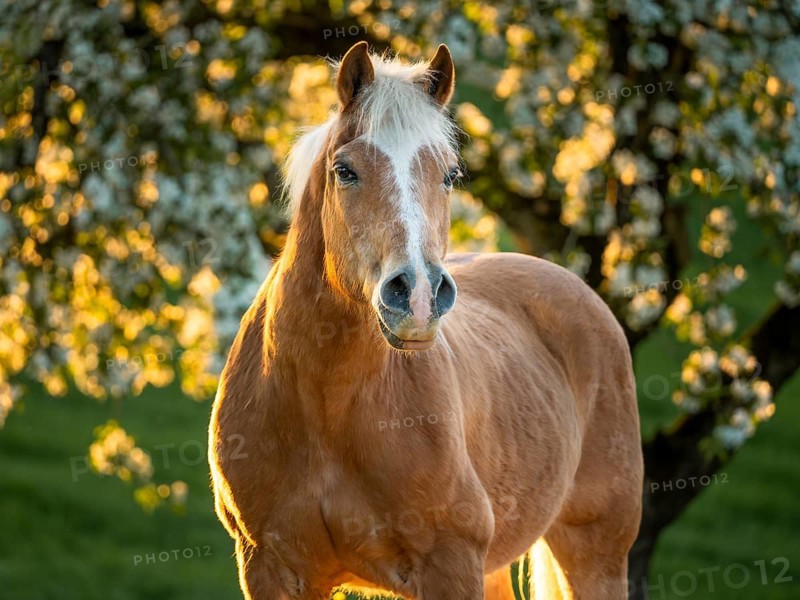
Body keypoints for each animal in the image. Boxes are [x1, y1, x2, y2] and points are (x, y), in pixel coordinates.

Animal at [208, 41, 643, 600]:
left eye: (450, 174)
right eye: (345, 171)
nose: (416, 295)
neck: (326, 407)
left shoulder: (449, 565)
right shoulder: (270, 569)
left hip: (595, 553)